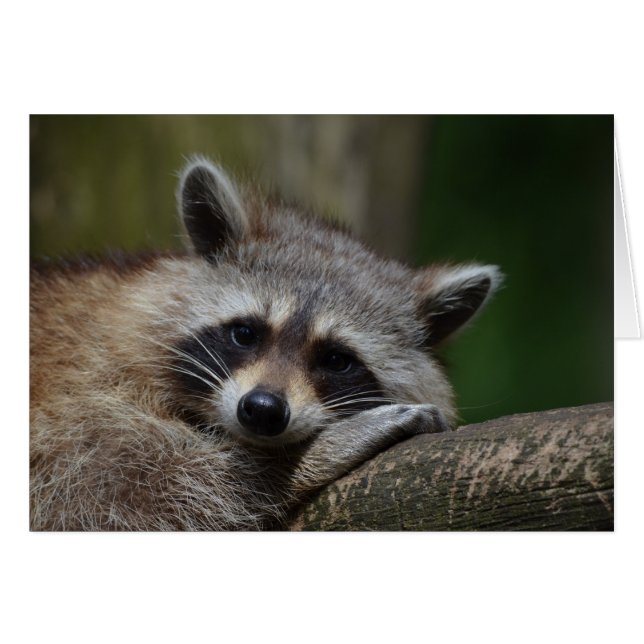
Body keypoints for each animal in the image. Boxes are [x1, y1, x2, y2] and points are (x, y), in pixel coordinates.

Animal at [30, 157, 501, 531]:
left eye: (337, 359)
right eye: (245, 333)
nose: (262, 410)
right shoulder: (79, 402)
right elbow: (125, 494)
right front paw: (304, 457)